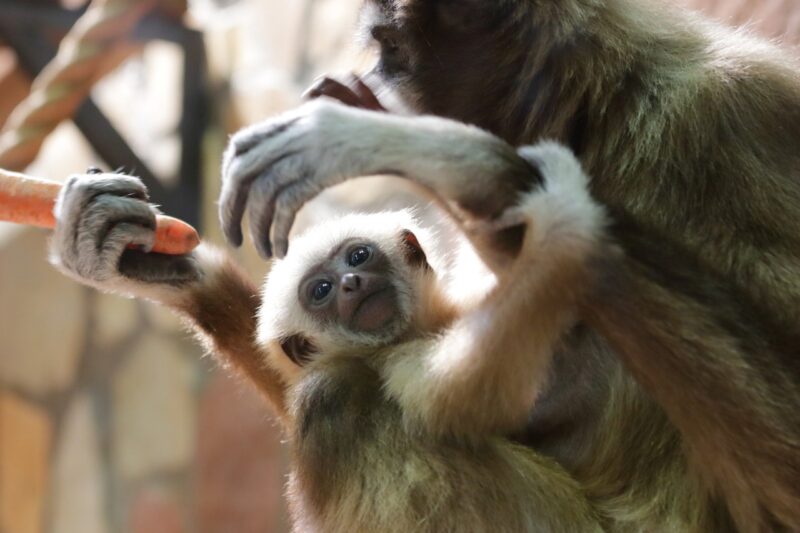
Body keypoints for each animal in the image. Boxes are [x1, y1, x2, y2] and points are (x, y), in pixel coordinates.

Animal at [217, 1, 800, 532]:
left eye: (393, 51)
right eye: (320, 290)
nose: (351, 284)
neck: (608, 106)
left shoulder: (734, 104)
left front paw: (450, 156)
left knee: (335, 400)